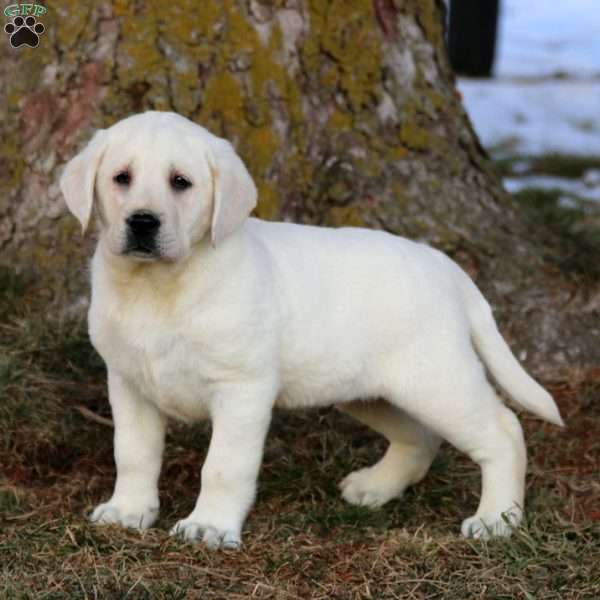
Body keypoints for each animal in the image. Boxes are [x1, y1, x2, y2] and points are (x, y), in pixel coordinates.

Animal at [59, 111, 564, 548]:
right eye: (121, 178)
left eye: (180, 182)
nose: (143, 222)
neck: (159, 287)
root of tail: (446, 267)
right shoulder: (128, 383)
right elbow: (133, 453)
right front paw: (128, 511)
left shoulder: (242, 389)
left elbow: (223, 465)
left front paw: (210, 526)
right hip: (372, 390)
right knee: (419, 436)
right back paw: (376, 486)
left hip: (438, 380)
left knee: (504, 431)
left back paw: (497, 519)